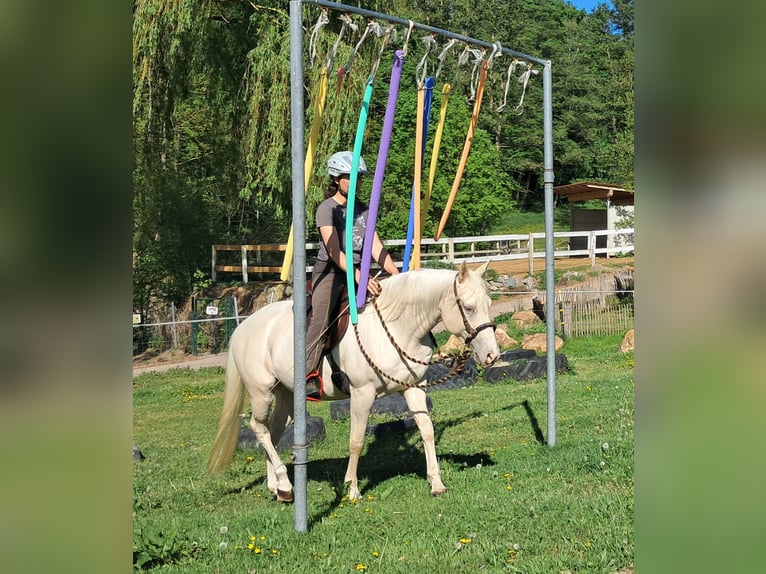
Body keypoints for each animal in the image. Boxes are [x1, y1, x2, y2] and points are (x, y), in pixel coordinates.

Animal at [208, 261, 499, 502]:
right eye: (469, 307)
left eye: (489, 303)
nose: (492, 355)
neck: (395, 328)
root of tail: (243, 327)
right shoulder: (362, 394)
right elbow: (356, 440)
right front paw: (352, 488)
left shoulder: (414, 388)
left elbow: (426, 430)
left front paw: (436, 483)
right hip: (261, 392)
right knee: (259, 428)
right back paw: (285, 485)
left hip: (286, 395)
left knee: (272, 431)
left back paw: (278, 487)